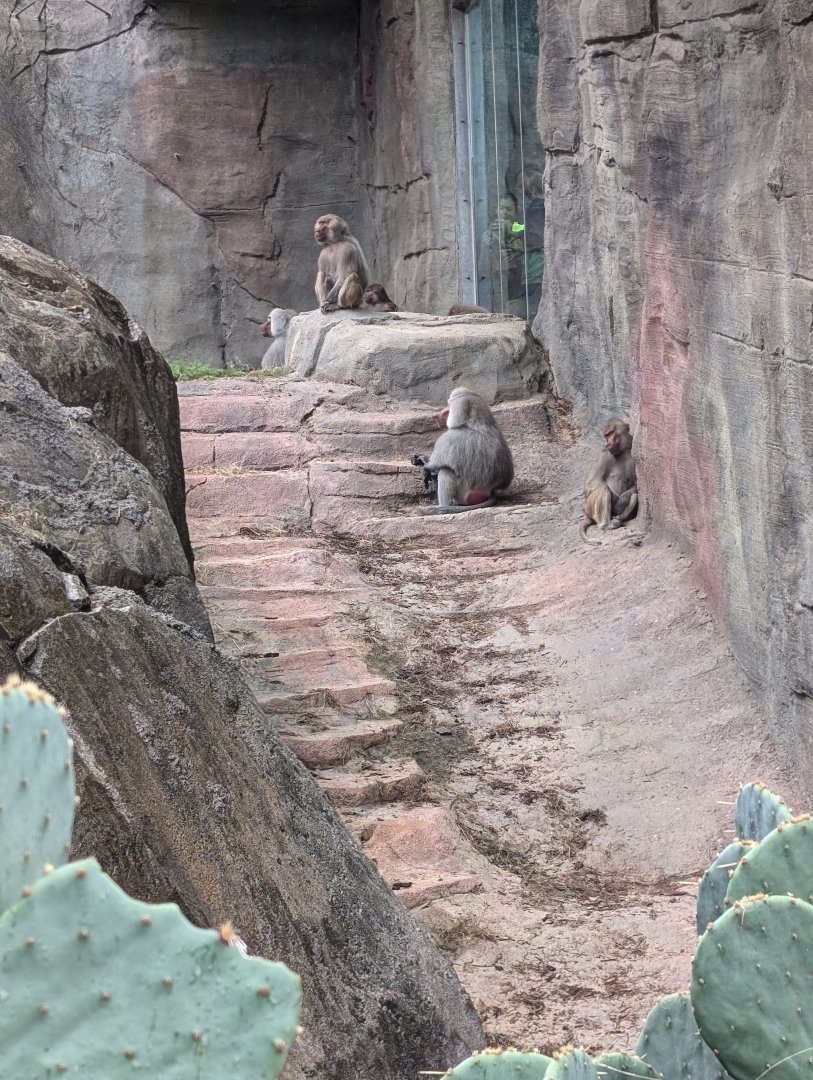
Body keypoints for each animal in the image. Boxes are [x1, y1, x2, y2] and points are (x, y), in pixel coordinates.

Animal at [410, 387, 514, 515]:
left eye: (449, 405)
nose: (442, 412)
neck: (473, 424)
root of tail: (488, 492)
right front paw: (421, 458)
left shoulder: (448, 438)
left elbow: (436, 464)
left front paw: (425, 467)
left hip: (464, 494)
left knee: (445, 471)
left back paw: (444, 506)